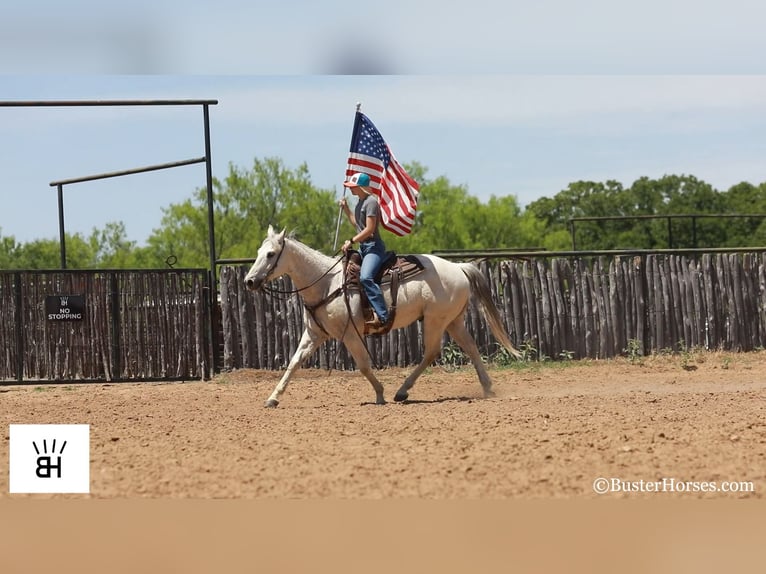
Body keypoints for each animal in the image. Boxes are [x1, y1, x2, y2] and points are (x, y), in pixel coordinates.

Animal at [246, 226, 520, 410]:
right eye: (259, 251)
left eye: (271, 254)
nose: (249, 281)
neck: (325, 283)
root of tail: (458, 267)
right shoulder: (313, 334)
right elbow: (293, 363)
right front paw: (273, 398)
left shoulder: (350, 334)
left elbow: (364, 366)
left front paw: (379, 394)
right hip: (452, 321)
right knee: (470, 347)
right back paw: (487, 387)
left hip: (435, 320)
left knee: (431, 352)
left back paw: (402, 392)